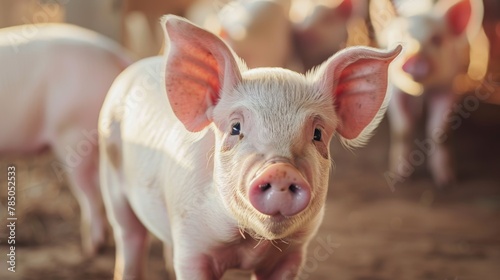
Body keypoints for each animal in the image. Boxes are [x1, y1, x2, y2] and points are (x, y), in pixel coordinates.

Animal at [372, 0, 488, 188]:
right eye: (399, 37)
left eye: (436, 39)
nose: (414, 57)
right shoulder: (395, 90)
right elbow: (403, 129)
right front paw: (399, 178)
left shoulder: (448, 86)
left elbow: (439, 131)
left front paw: (446, 181)